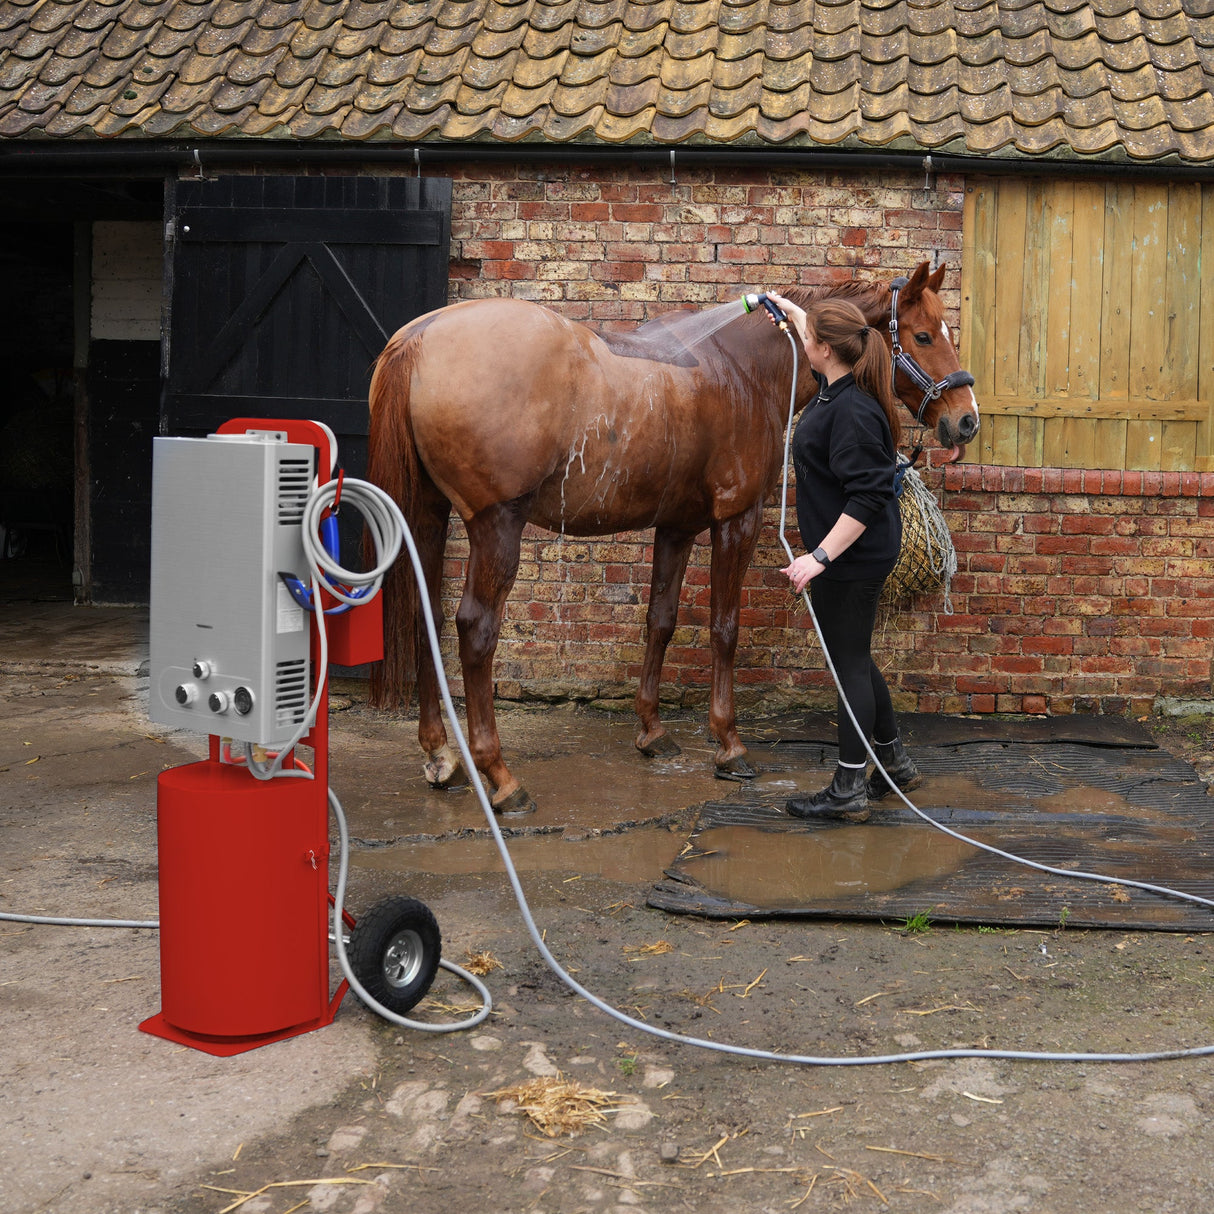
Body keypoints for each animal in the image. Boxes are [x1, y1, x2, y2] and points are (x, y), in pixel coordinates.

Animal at [366, 261, 976, 810]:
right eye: (923, 335)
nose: (966, 419)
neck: (743, 365)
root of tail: (418, 339)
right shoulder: (737, 519)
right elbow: (724, 629)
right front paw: (729, 745)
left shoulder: (676, 527)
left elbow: (660, 621)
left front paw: (652, 733)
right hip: (497, 526)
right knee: (475, 630)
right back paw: (499, 775)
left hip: (428, 516)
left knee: (427, 615)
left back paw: (440, 755)